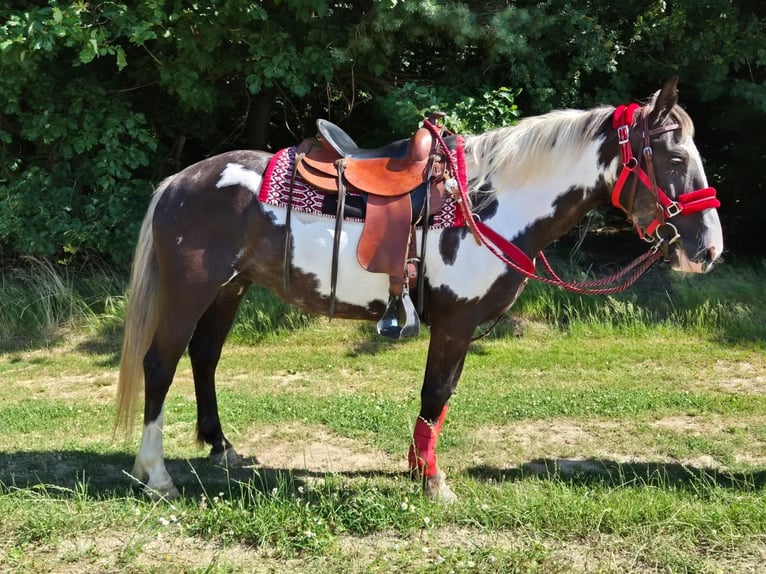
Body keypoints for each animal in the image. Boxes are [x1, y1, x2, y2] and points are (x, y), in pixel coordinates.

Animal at [116, 78, 723, 502]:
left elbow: (441, 400)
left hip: (230, 289)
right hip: (190, 292)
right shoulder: (455, 324)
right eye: (674, 157)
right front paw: (434, 483)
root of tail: (179, 181)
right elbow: (436, 394)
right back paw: (157, 475)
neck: (488, 204)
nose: (709, 248)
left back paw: (221, 449)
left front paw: (417, 468)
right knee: (160, 365)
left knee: (204, 357)